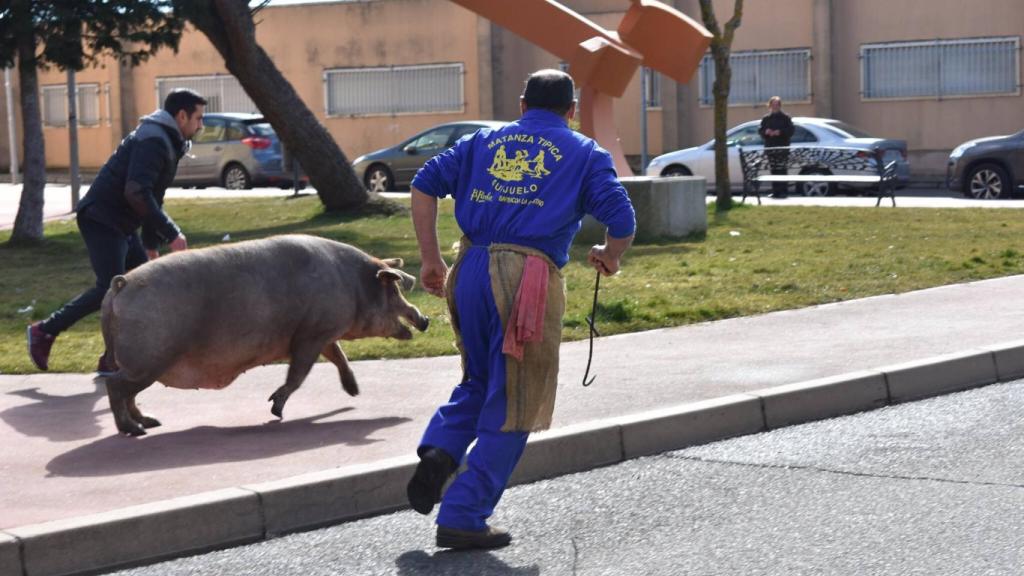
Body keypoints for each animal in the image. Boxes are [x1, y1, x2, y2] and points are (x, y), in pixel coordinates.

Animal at [96, 234, 429, 436]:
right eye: (394, 289)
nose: (424, 319)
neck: (353, 285)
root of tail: (120, 284)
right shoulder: (311, 334)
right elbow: (299, 373)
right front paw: (275, 410)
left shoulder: (321, 332)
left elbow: (339, 357)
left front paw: (354, 391)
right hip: (148, 359)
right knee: (116, 388)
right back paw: (135, 430)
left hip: (137, 362)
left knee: (126, 391)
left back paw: (151, 422)